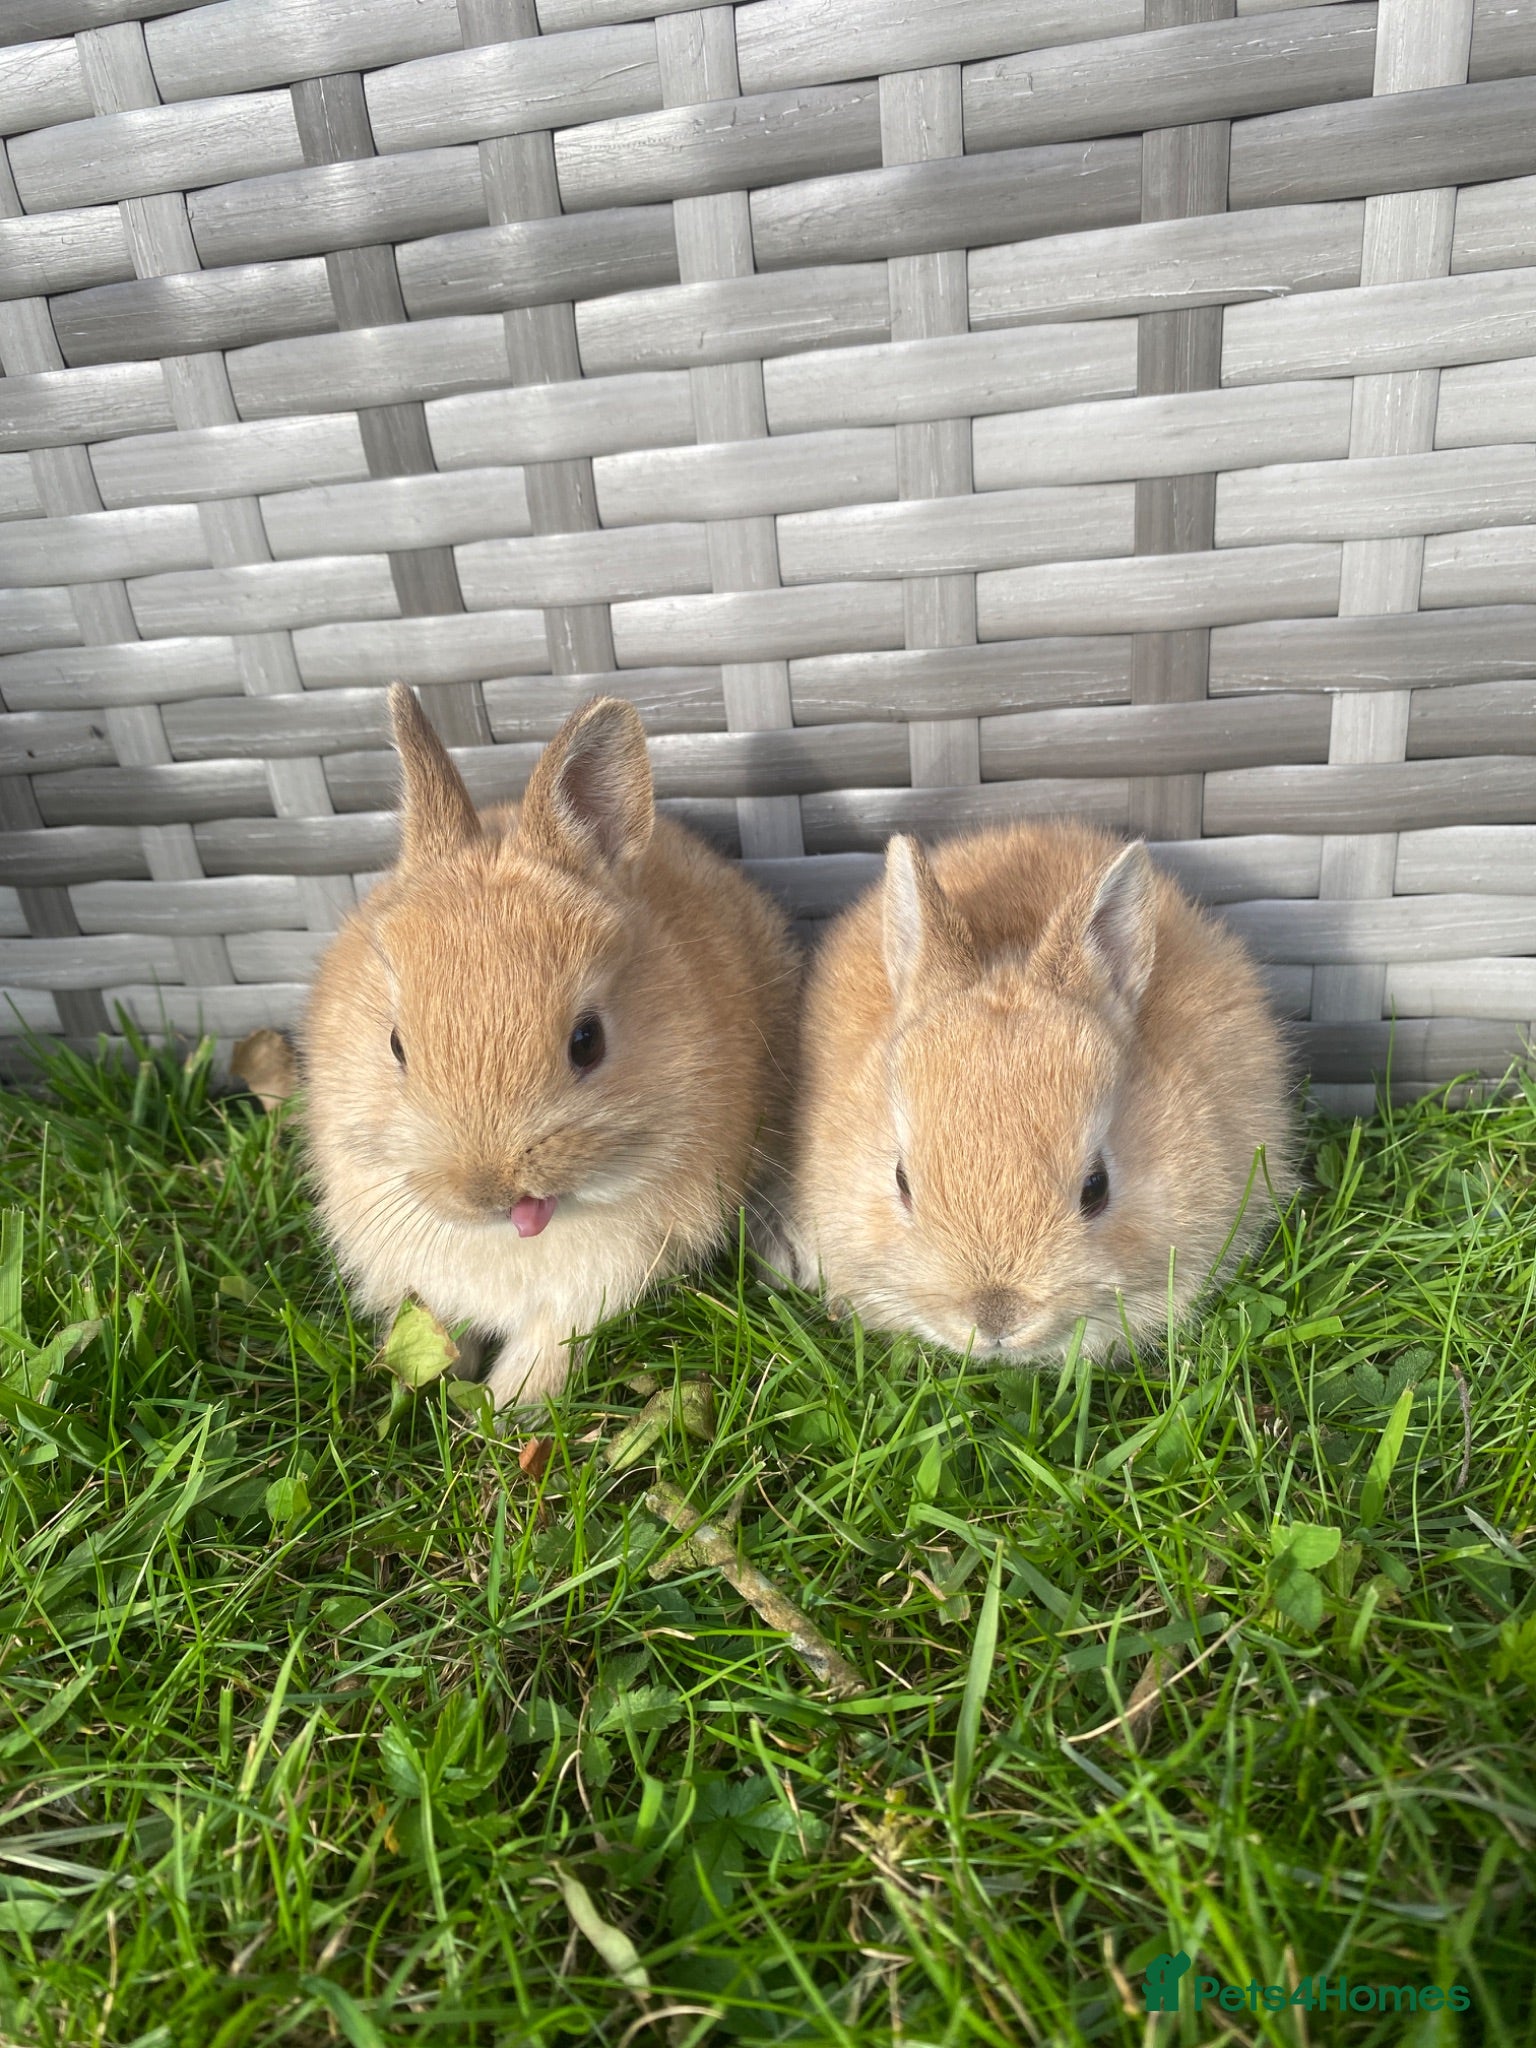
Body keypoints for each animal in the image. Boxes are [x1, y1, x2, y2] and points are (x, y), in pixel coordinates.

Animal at [303, 684, 799, 1409]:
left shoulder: (593, 1285)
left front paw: (507, 1407)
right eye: (395, 1045)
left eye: (587, 1041)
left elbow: (550, 1342)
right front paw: (443, 1385)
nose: (489, 1190)